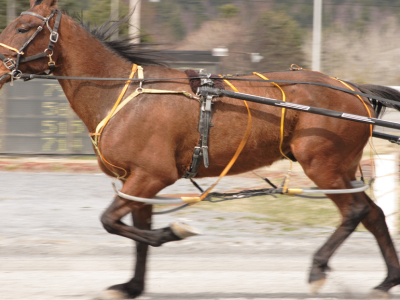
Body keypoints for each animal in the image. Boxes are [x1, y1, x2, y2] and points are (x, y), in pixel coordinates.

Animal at [0, 0, 400, 298]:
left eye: (23, 27)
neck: (122, 93)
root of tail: (352, 88)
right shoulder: (137, 181)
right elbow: (132, 233)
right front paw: (132, 285)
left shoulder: (151, 175)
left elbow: (111, 222)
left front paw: (174, 231)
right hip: (341, 167)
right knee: (373, 214)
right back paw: (386, 281)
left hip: (322, 164)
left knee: (354, 212)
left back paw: (318, 267)